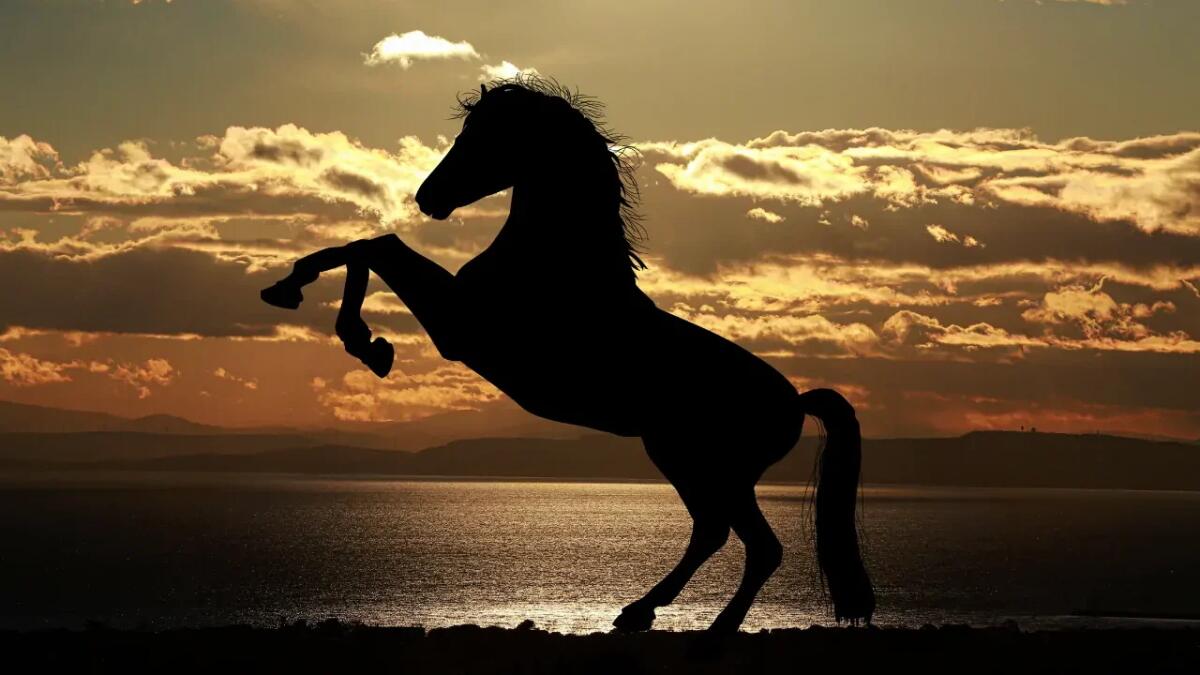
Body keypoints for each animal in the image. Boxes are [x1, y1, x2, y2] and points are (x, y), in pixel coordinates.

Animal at [260, 78, 874, 632]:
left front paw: (360, 338)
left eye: (484, 136)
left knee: (752, 543)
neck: (556, 264)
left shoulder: (459, 327)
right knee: (714, 532)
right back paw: (639, 612)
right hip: (692, 463)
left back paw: (709, 628)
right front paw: (299, 296)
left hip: (705, 464)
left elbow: (375, 247)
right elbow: (365, 246)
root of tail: (795, 401)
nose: (427, 198)